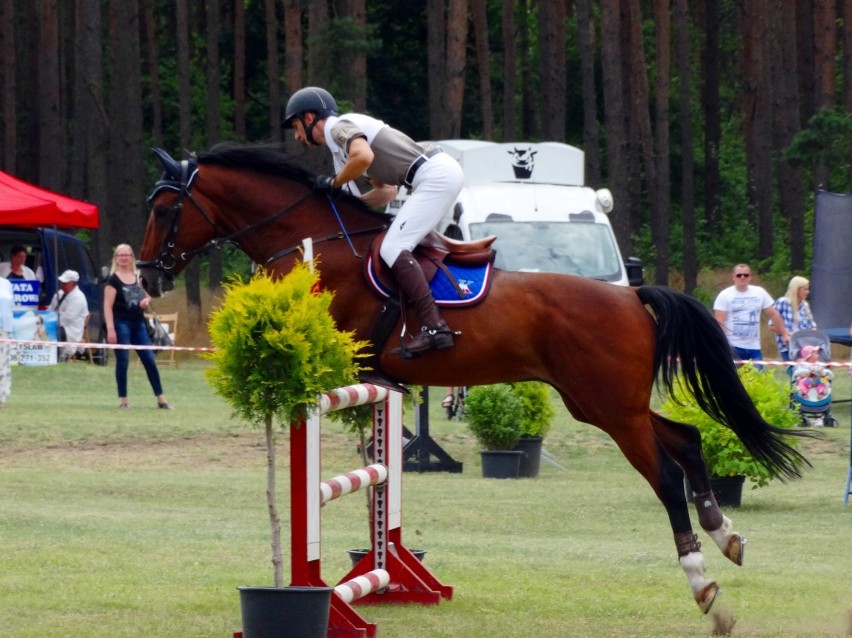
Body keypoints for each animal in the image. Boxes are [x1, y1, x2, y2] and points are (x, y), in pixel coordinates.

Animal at [138, 144, 804, 616]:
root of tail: (633, 296)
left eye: (165, 210)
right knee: (688, 441)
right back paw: (726, 537)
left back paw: (703, 584)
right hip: (604, 404)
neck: (315, 240)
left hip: (610, 408)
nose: (146, 277)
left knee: (665, 475)